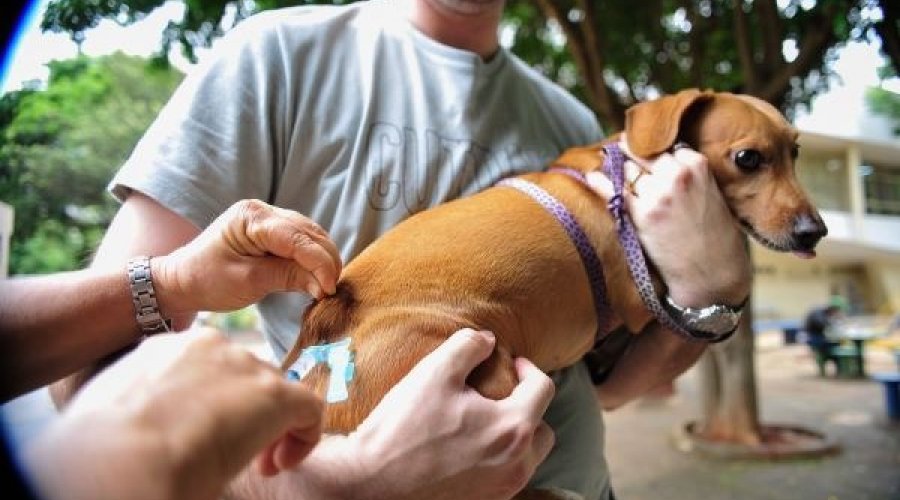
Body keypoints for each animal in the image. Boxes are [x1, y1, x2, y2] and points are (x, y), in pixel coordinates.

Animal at [284, 90, 828, 496]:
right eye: (748, 158)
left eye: (796, 153)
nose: (815, 232)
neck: (619, 176)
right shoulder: (640, 302)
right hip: (488, 367)